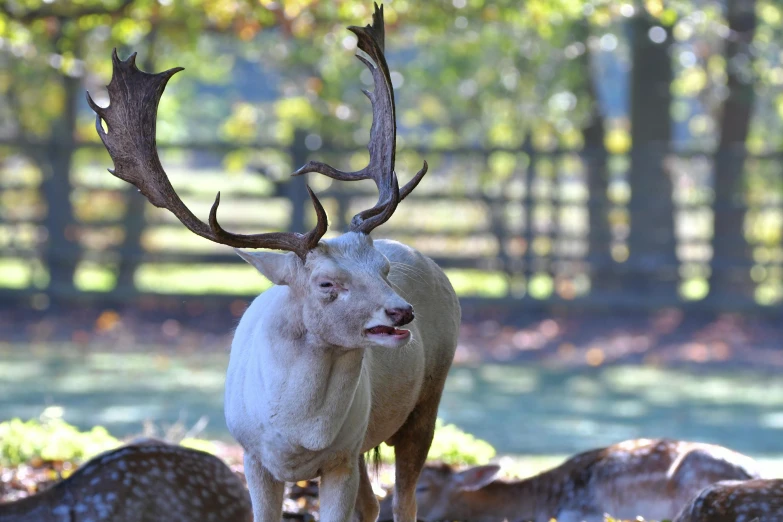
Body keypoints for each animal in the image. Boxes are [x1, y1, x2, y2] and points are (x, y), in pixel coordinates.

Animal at [87, 4, 460, 520]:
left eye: (382, 270)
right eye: (326, 284)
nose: (402, 312)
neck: (297, 439)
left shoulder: (341, 458)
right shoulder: (252, 456)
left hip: (427, 402)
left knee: (404, 500)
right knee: (373, 504)